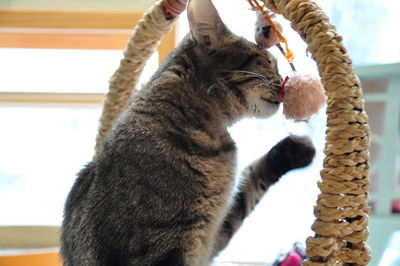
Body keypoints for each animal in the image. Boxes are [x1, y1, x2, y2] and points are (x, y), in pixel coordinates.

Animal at [60, 0, 316, 264]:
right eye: (267, 61)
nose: (285, 79)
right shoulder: (165, 247)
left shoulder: (212, 234)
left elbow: (250, 181)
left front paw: (296, 149)